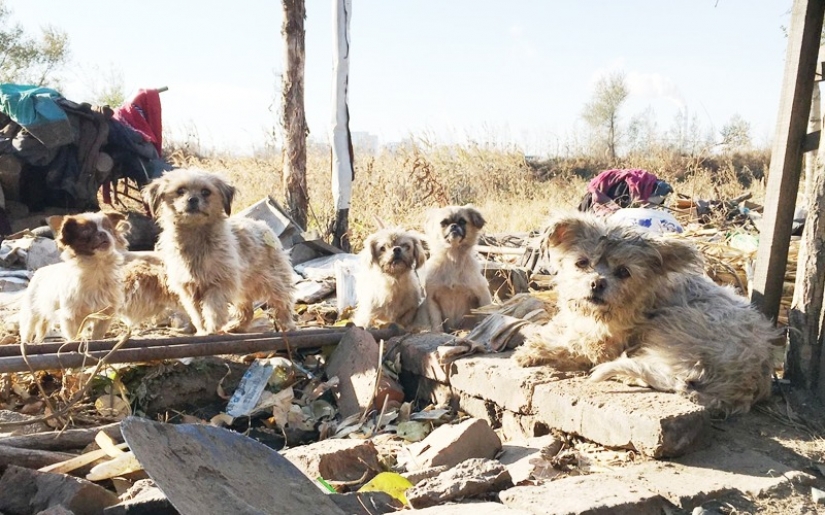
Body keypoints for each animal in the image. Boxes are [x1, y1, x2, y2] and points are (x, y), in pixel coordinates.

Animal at [18, 211, 125, 342]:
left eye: (109, 228)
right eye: (86, 231)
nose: (103, 233)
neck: (96, 267)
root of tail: (40, 271)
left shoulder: (105, 314)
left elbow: (97, 336)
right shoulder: (71, 316)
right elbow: (73, 337)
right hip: (32, 314)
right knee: (28, 330)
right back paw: (26, 343)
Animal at [142, 169, 296, 334]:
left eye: (206, 192)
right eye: (180, 191)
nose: (192, 199)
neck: (195, 235)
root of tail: (262, 225)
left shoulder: (219, 284)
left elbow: (213, 307)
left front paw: (213, 326)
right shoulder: (189, 289)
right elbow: (196, 313)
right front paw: (203, 330)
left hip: (274, 281)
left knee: (282, 303)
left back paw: (287, 324)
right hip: (241, 289)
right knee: (247, 310)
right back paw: (236, 327)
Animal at [422, 206, 492, 334]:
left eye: (462, 222)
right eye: (444, 223)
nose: (454, 226)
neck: (453, 257)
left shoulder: (482, 293)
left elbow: (485, 314)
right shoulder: (431, 299)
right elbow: (436, 321)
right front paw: (438, 333)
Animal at [516, 212, 780, 418]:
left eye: (624, 272)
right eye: (581, 262)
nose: (597, 283)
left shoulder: (603, 343)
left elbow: (571, 343)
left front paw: (533, 350)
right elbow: (561, 326)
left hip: (675, 322)